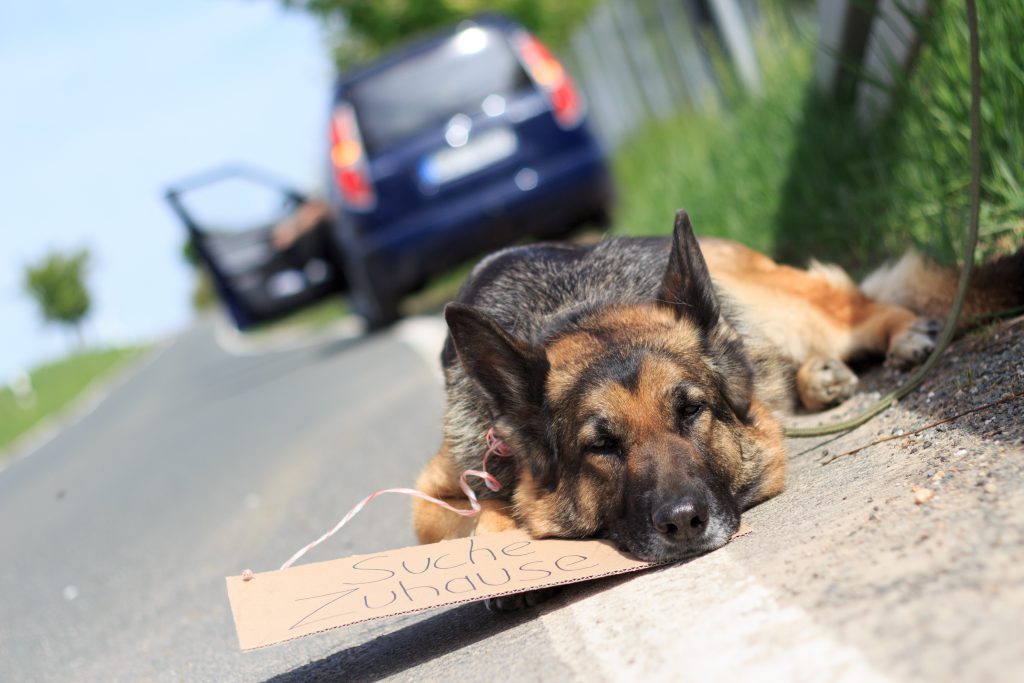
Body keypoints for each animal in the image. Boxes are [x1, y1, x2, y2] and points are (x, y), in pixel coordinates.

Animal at [411, 210, 1019, 589]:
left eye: (690, 411)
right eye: (601, 445)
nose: (683, 523)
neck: (578, 309)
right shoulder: (434, 495)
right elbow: (480, 509)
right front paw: (497, 539)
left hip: (793, 310)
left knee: (862, 309)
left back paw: (904, 333)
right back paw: (817, 379)